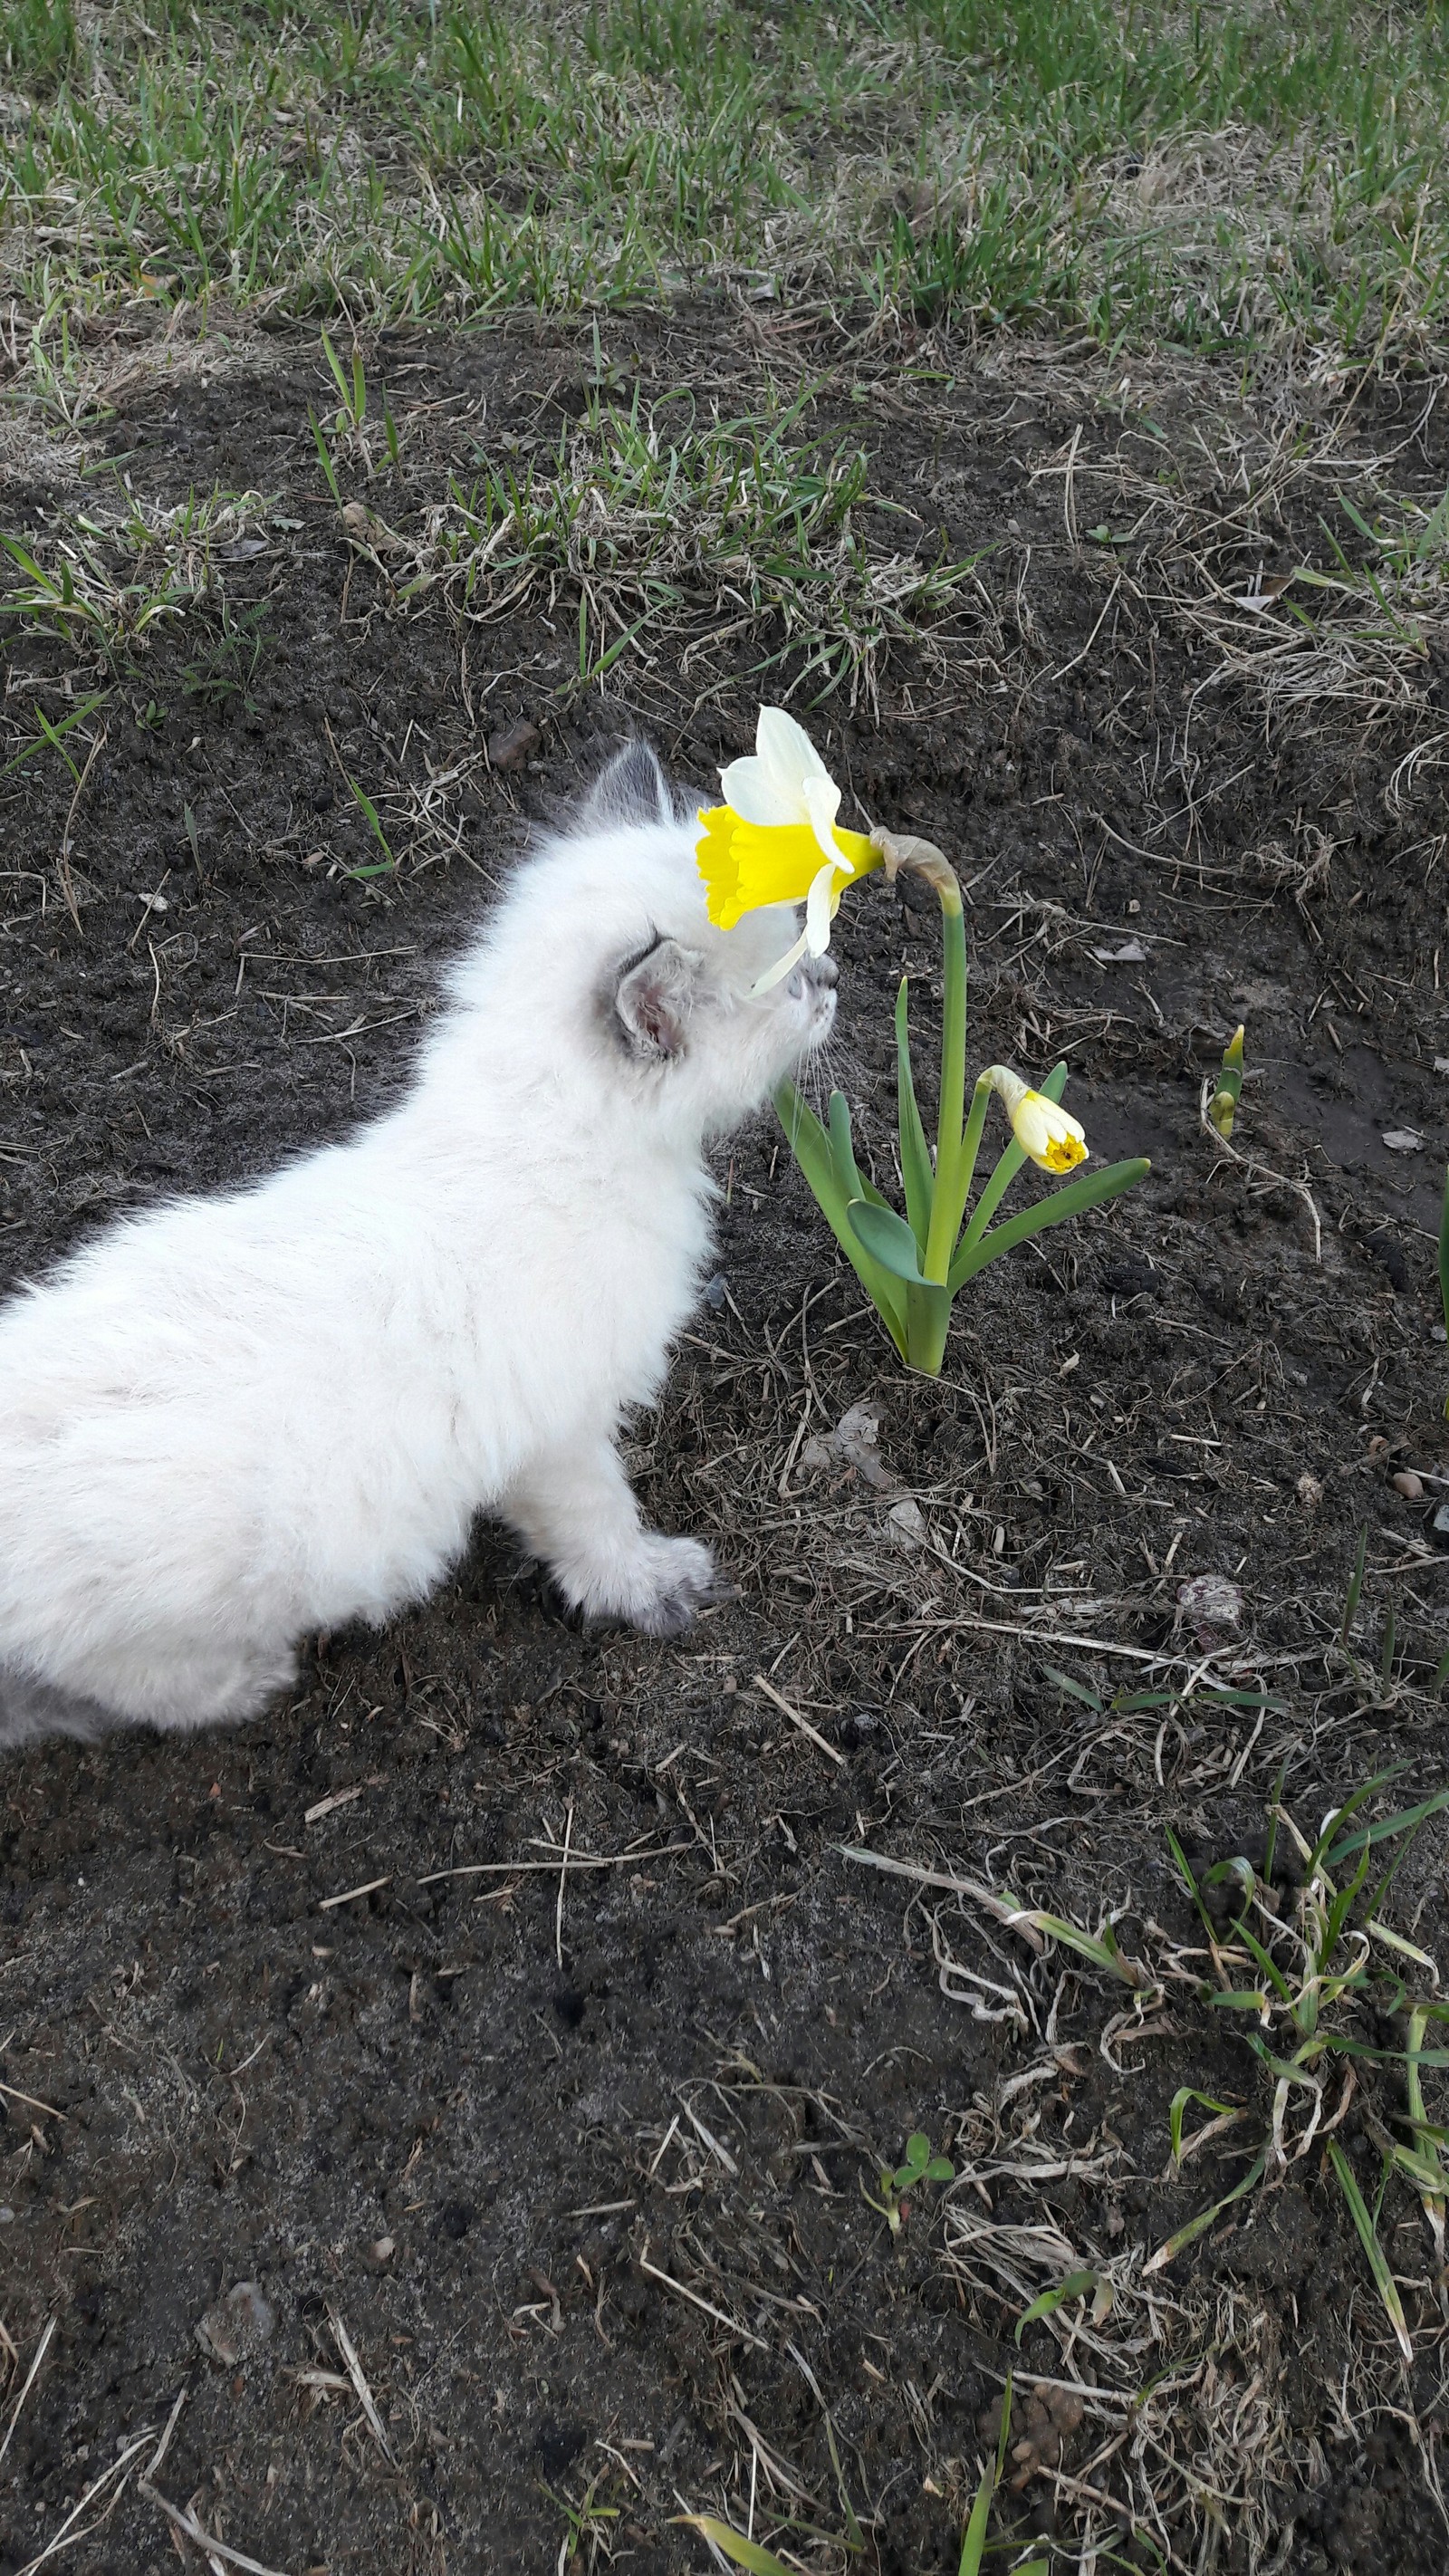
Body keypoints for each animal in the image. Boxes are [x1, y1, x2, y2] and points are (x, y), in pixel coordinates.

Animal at [0, 746, 839, 1751]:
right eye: (790, 978)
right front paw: (651, 1590)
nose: (835, 976)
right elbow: (600, 1525)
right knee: (149, 1688)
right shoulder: (560, 1435)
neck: (542, 1139)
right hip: (182, 1615)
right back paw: (250, 1680)